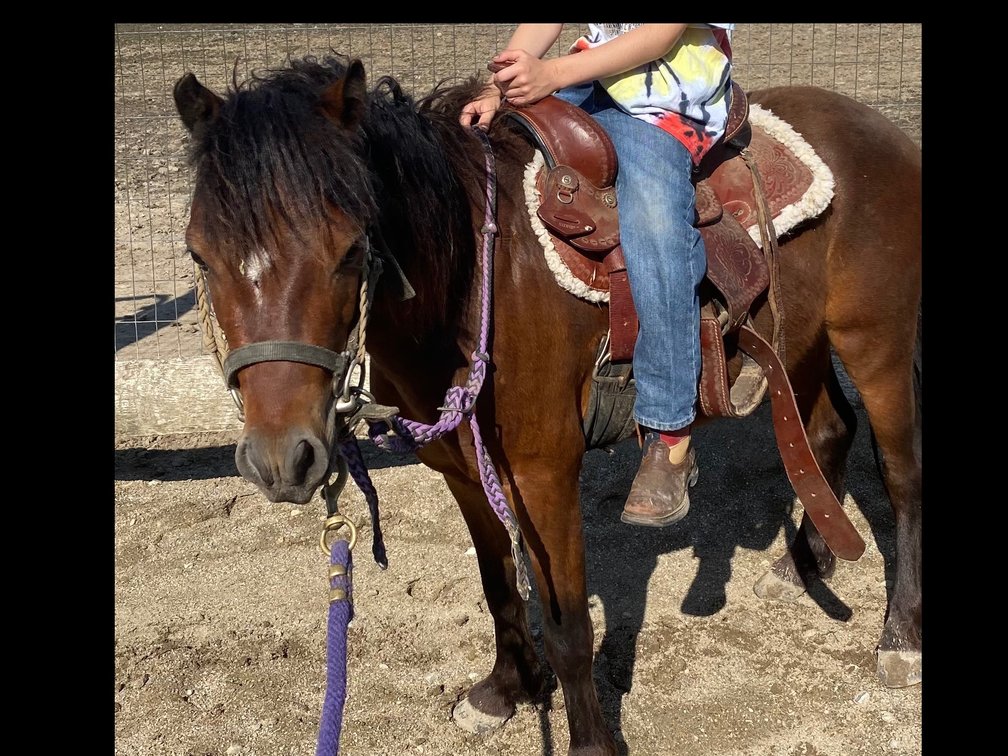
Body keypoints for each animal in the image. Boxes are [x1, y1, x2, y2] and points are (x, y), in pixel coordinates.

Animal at [173, 54, 921, 755]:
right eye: (200, 256)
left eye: (351, 248)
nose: (282, 460)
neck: (479, 281)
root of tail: (887, 131)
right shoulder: (462, 468)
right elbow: (499, 585)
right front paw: (505, 691)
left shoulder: (544, 473)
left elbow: (567, 624)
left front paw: (589, 740)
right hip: (802, 345)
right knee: (827, 433)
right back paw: (802, 567)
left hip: (876, 347)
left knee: (900, 478)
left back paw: (900, 637)